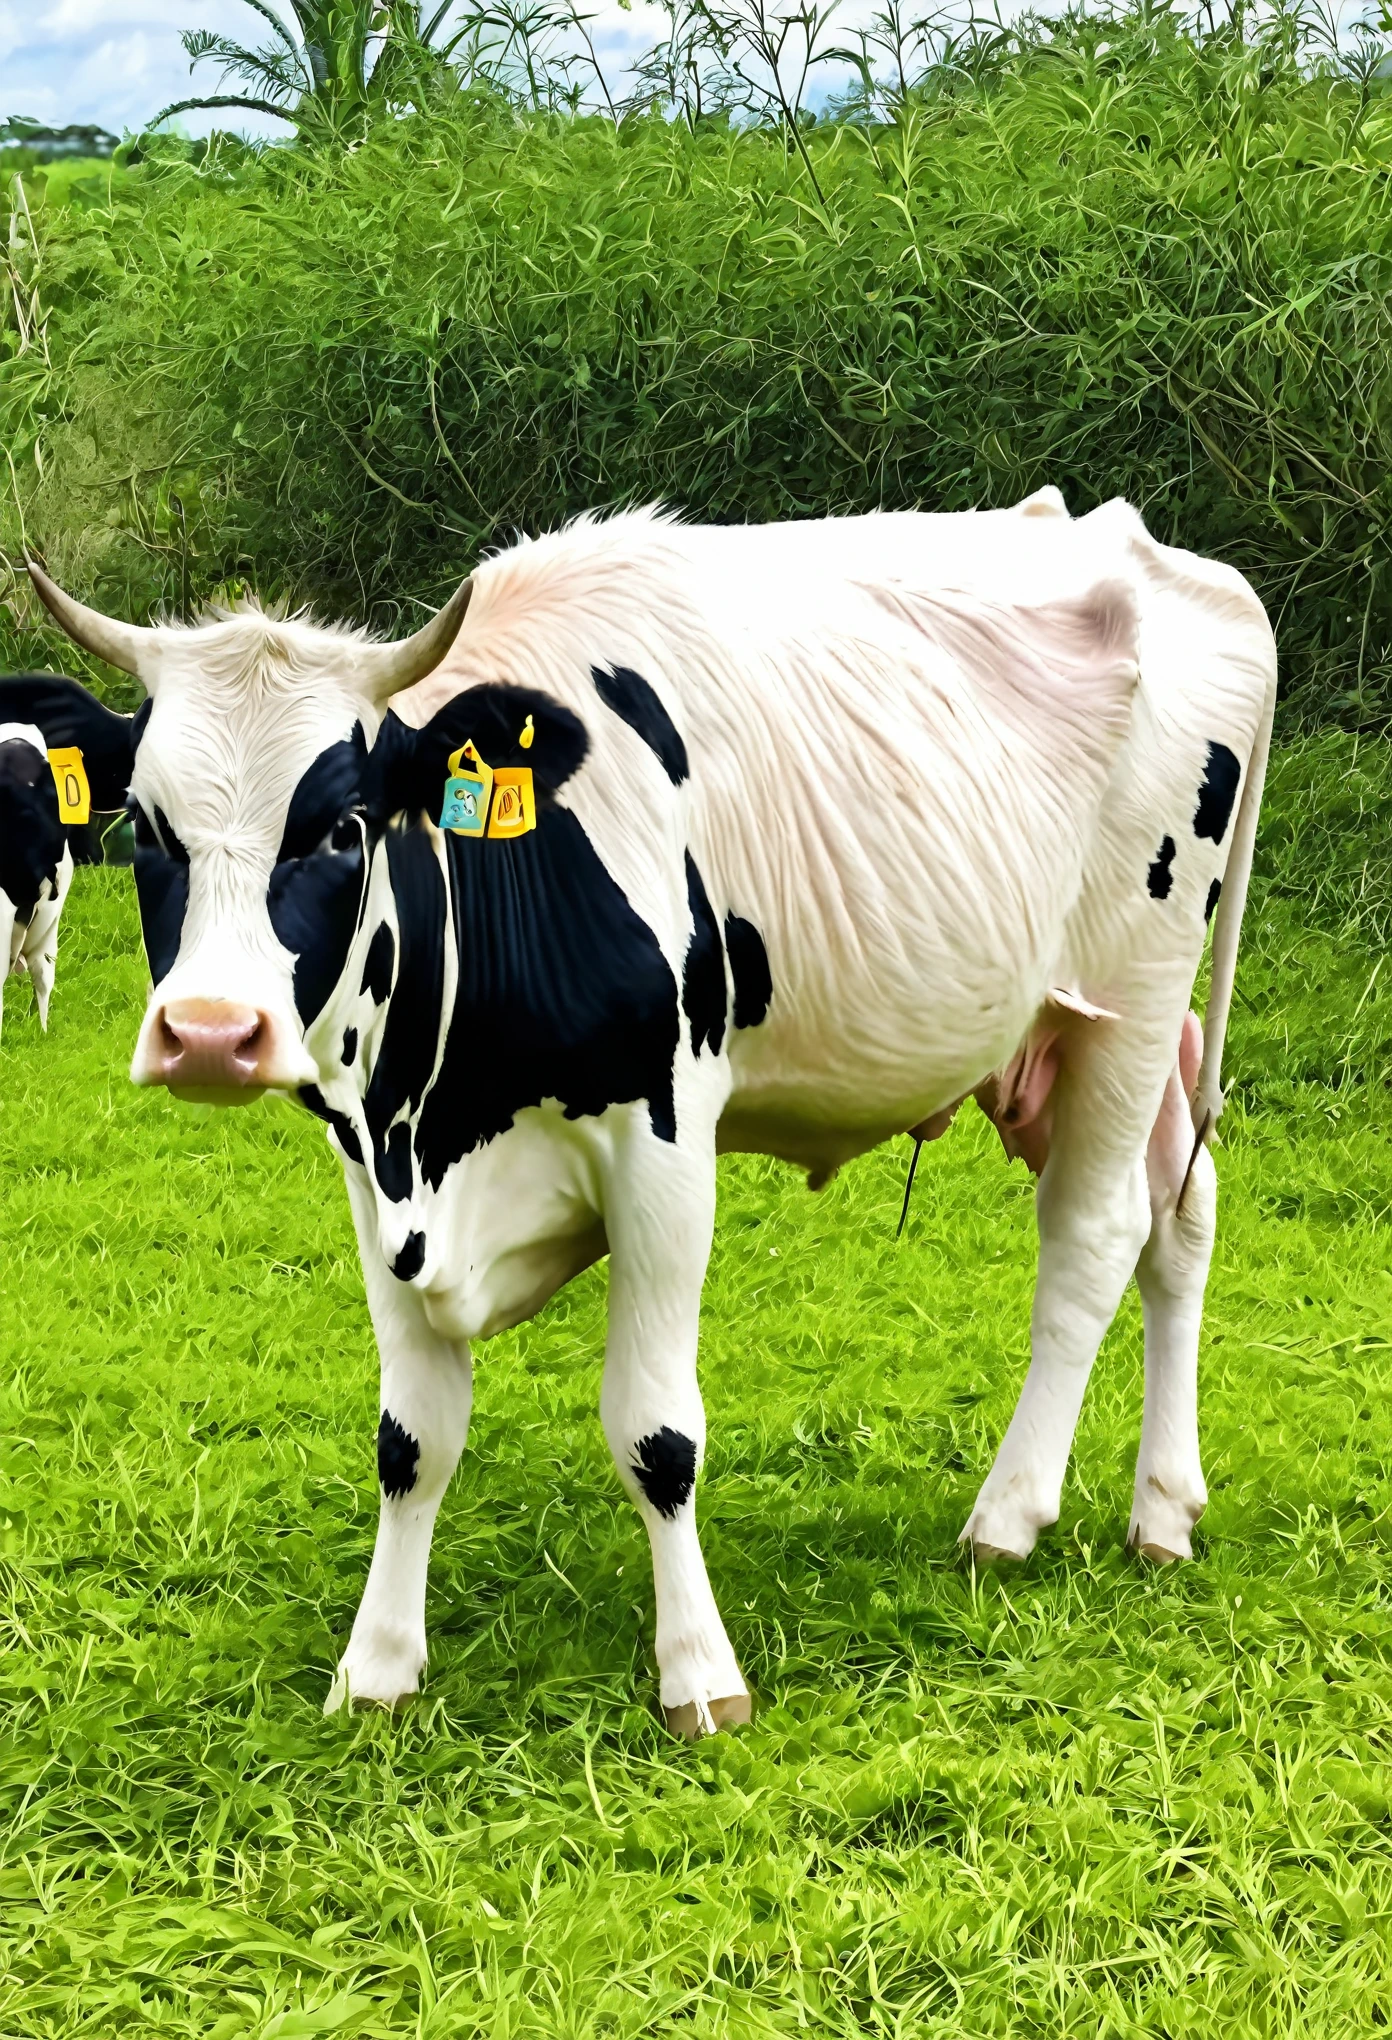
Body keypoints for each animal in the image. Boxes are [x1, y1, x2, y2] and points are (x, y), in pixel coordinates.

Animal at [14, 491, 1276, 1737]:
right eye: (147, 828)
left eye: (341, 824)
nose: (210, 1034)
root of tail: (1172, 561)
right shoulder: (376, 1170)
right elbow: (410, 1438)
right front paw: (376, 1668)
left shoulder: (663, 1148)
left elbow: (656, 1435)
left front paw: (699, 1675)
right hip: (1076, 1043)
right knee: (1182, 1215)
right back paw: (1165, 1509)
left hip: (1131, 1000)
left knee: (1093, 1241)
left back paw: (1009, 1516)